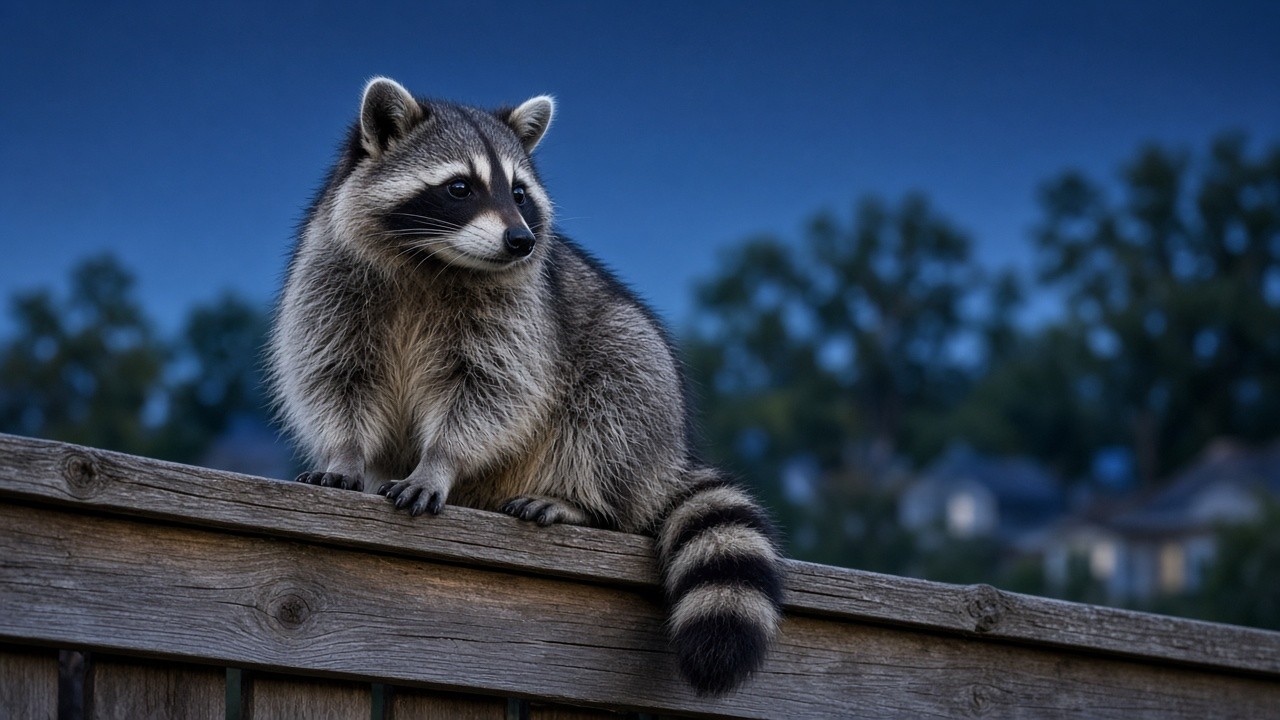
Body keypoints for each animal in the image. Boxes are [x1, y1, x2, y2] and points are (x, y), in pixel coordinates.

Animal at [266, 77, 784, 696]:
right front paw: (345, 453)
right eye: (459, 187)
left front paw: (438, 461)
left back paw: (581, 500)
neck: (432, 259)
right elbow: (335, 376)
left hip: (638, 378)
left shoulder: (519, 320)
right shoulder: (330, 283)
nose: (523, 240)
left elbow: (492, 392)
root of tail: (667, 462)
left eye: (519, 192)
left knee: (609, 408)